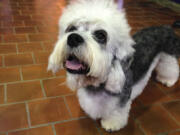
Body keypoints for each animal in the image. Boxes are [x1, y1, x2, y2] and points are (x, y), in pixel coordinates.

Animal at [47, 0, 180, 132]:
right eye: (71, 28)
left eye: (101, 35)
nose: (73, 38)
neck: (98, 83)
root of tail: (166, 27)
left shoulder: (121, 100)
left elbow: (116, 112)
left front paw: (111, 123)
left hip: (168, 57)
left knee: (171, 68)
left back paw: (168, 80)